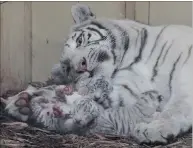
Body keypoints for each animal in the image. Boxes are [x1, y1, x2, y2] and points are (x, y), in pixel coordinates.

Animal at [2, 3, 192, 145]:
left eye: (79, 41)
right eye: (68, 67)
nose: (81, 65)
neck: (130, 60)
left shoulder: (185, 73)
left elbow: (177, 106)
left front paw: (154, 127)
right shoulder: (129, 91)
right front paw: (25, 101)